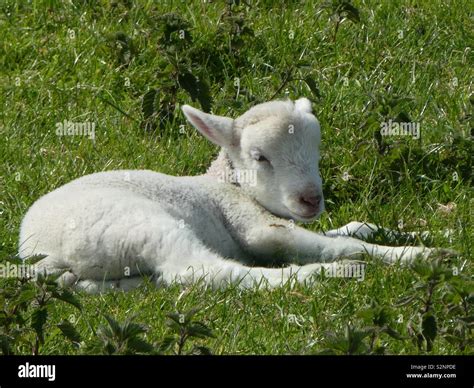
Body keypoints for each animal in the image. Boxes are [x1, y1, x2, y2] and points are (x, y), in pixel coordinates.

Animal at [17, 97, 448, 292]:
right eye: (260, 158)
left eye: (316, 151)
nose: (311, 200)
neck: (226, 183)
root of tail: (39, 253)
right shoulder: (250, 221)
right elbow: (342, 245)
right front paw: (421, 255)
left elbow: (357, 228)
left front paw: (428, 232)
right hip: (137, 225)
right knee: (200, 270)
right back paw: (318, 275)